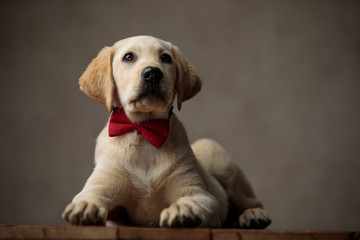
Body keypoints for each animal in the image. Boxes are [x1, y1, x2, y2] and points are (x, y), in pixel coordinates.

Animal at [62, 35, 270, 229]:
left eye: (165, 58)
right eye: (128, 57)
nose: (152, 73)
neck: (144, 132)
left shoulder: (202, 195)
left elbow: (193, 201)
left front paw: (183, 209)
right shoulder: (100, 185)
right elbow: (89, 196)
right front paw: (86, 206)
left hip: (215, 155)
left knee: (250, 202)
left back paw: (253, 215)